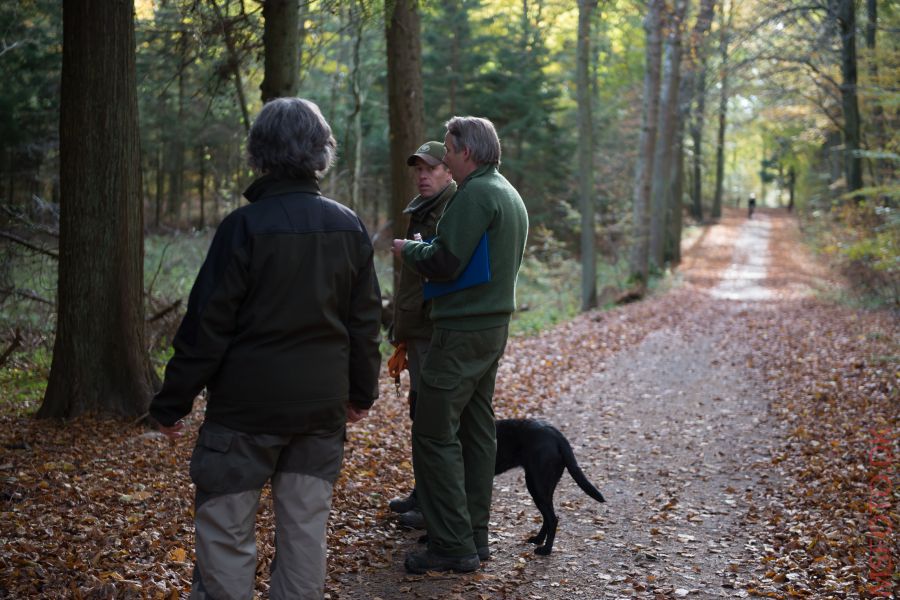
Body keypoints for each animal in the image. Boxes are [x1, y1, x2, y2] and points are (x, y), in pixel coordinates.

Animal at [496, 420, 608, 556]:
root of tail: (557, 435)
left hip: (537, 486)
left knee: (552, 519)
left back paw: (546, 549)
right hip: (541, 486)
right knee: (548, 517)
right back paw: (538, 539)